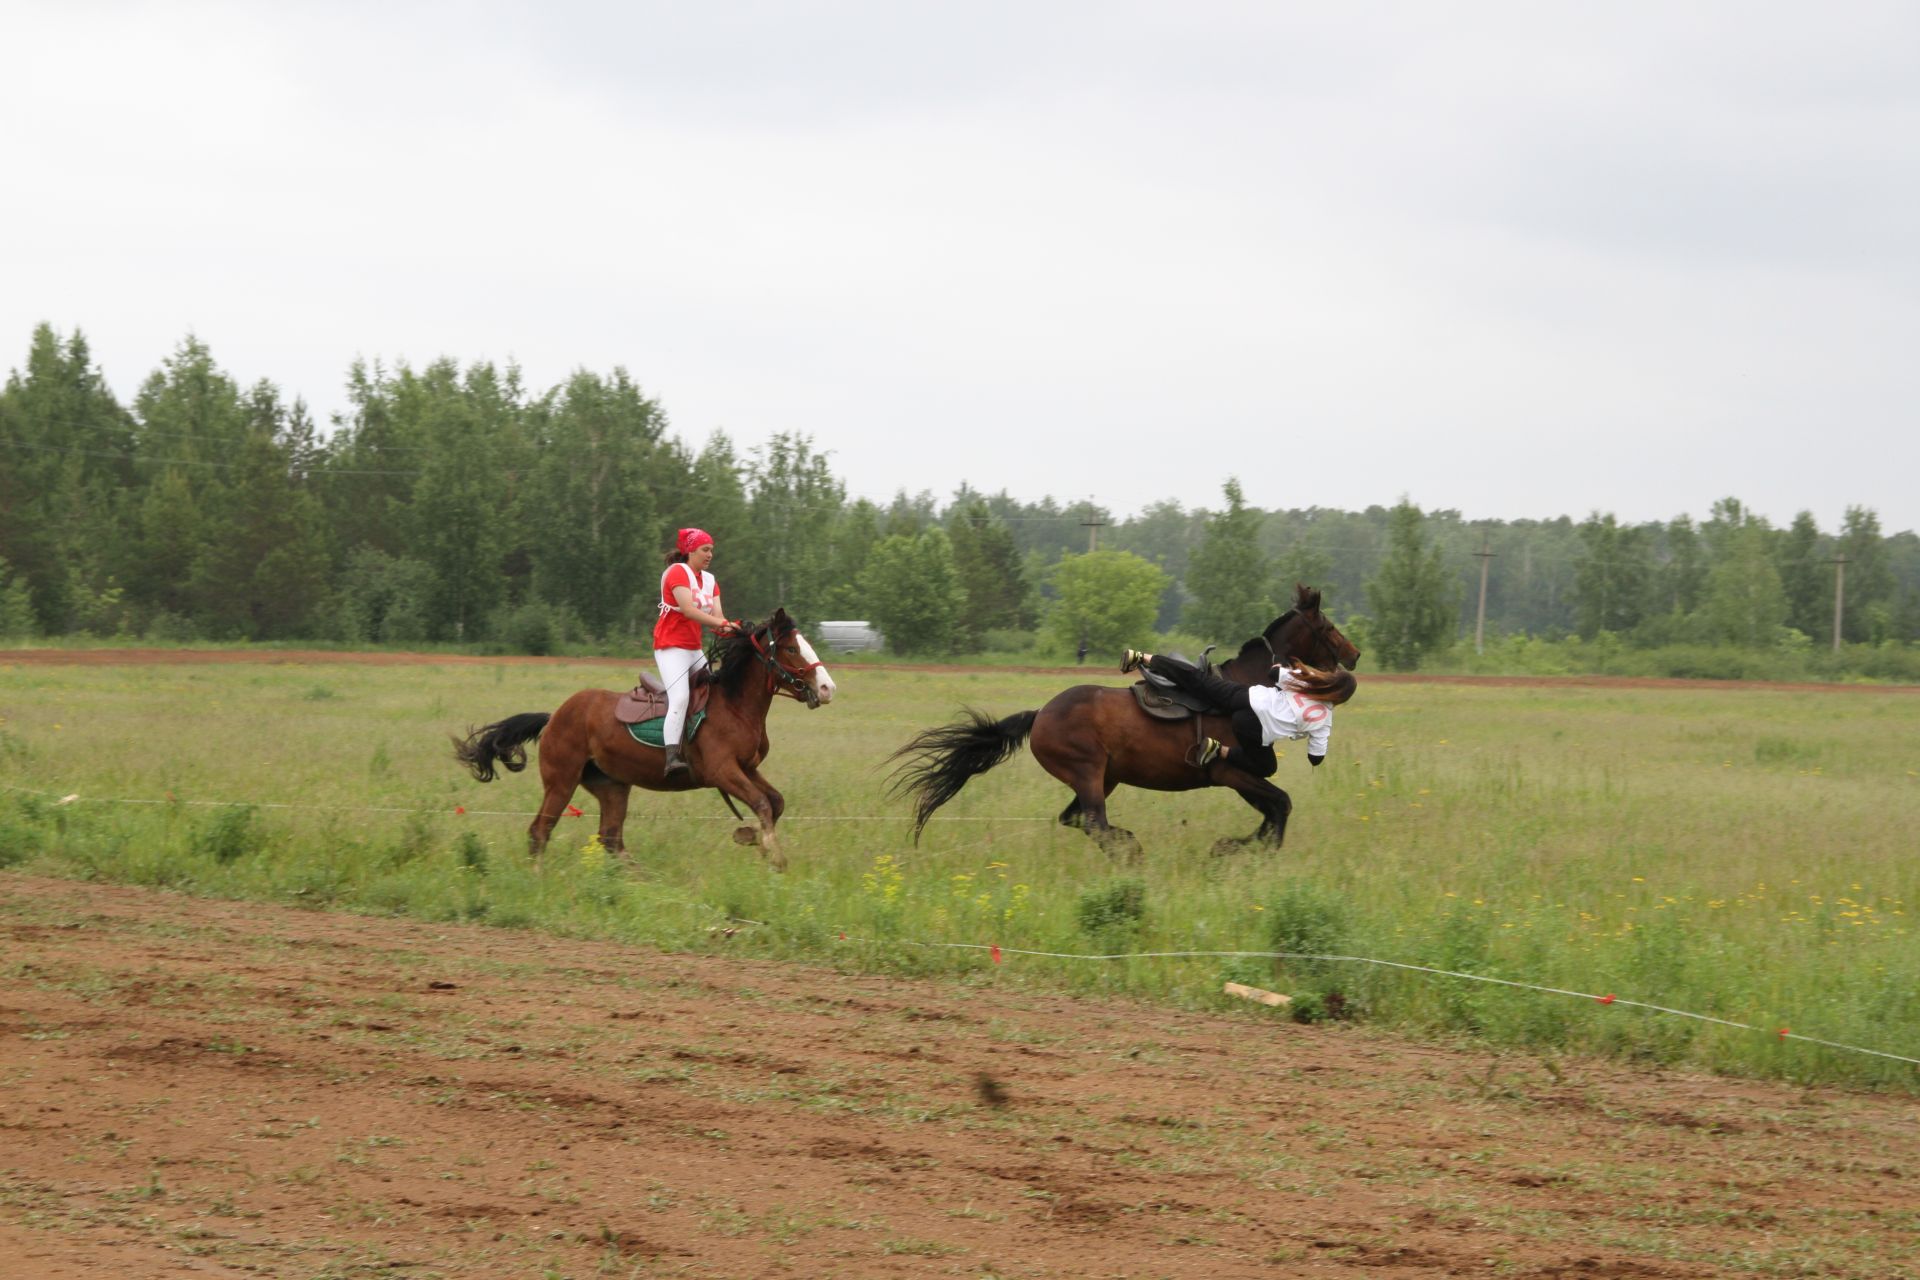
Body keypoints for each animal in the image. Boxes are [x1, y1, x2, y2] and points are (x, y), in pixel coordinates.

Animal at [456, 610, 840, 871]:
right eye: (791, 648)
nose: (827, 688)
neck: (736, 705)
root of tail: (553, 717)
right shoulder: (722, 771)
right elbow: (761, 804)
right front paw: (773, 856)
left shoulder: (746, 768)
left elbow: (775, 803)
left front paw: (757, 843)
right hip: (561, 782)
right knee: (540, 830)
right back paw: (540, 877)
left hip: (612, 785)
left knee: (611, 837)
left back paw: (639, 878)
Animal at [890, 587, 1359, 855]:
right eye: (1329, 627)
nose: (1354, 655)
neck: (1246, 688)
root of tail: (1040, 715)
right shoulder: (1230, 773)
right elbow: (1280, 804)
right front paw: (1237, 851)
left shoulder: (1242, 776)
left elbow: (1274, 808)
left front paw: (1235, 848)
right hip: (1087, 772)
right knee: (1093, 823)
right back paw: (1130, 851)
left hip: (1105, 777)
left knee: (1076, 820)